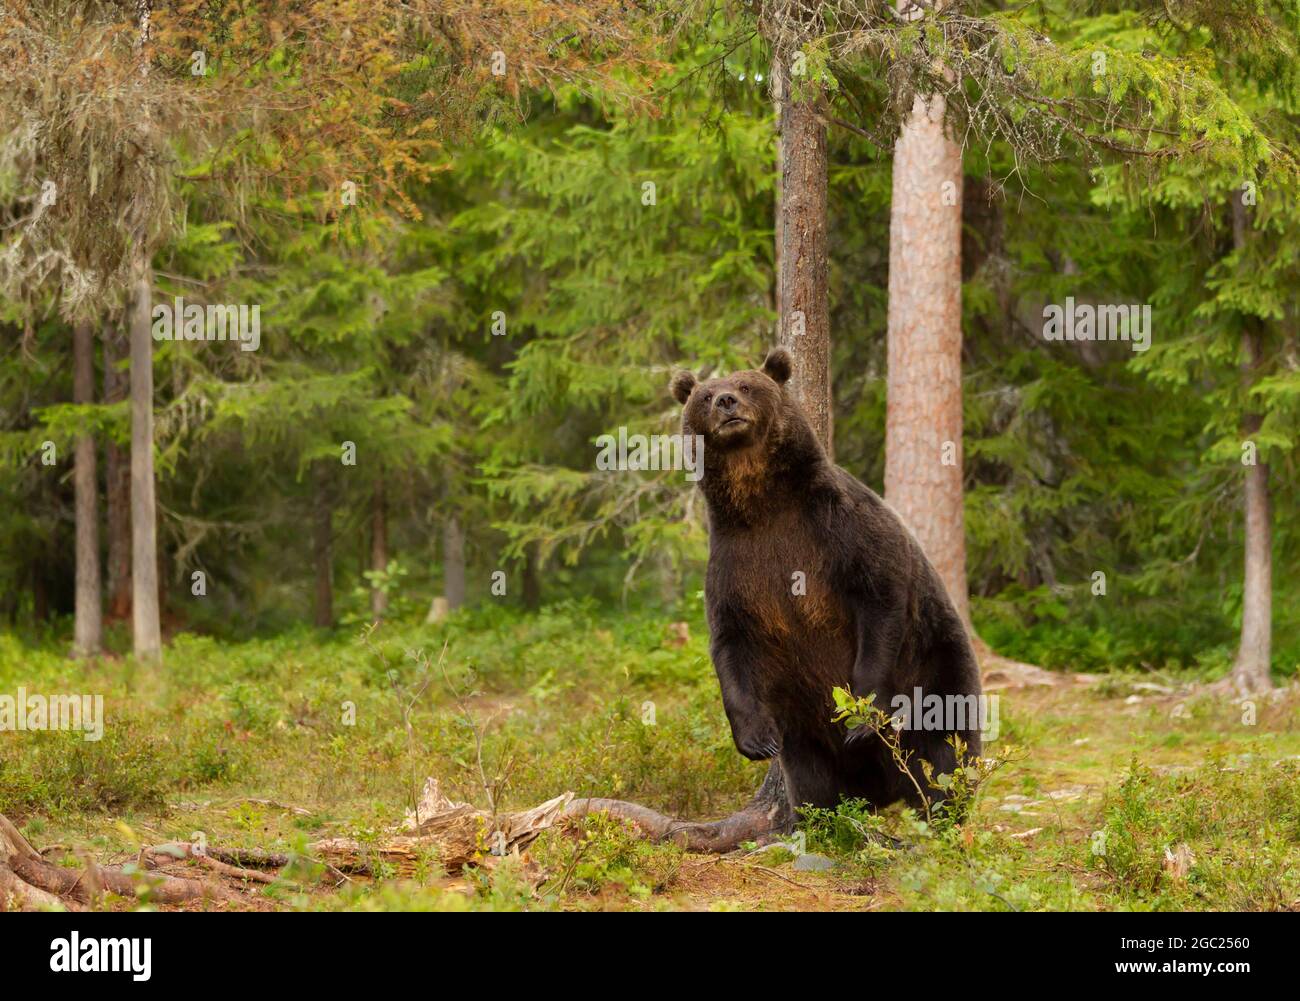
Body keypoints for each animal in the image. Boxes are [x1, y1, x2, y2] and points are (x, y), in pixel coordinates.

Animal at [676, 348, 977, 816]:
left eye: (746, 385)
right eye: (705, 395)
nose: (726, 403)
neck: (763, 505)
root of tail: (883, 788)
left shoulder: (838, 526)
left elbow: (880, 595)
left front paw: (862, 714)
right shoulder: (736, 565)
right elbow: (731, 643)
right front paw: (756, 740)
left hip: (934, 663)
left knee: (945, 745)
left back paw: (942, 806)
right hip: (804, 727)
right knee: (812, 777)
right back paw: (825, 816)